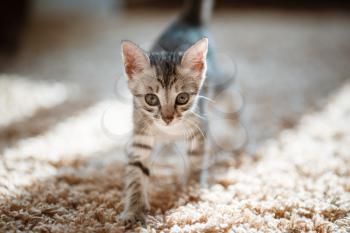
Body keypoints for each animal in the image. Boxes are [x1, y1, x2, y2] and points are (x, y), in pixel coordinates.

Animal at [121, 0, 216, 226]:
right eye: (151, 99)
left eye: (182, 98)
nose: (167, 118)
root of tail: (185, 22)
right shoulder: (141, 132)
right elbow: (136, 170)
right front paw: (134, 210)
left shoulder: (199, 128)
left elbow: (197, 160)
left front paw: (193, 195)